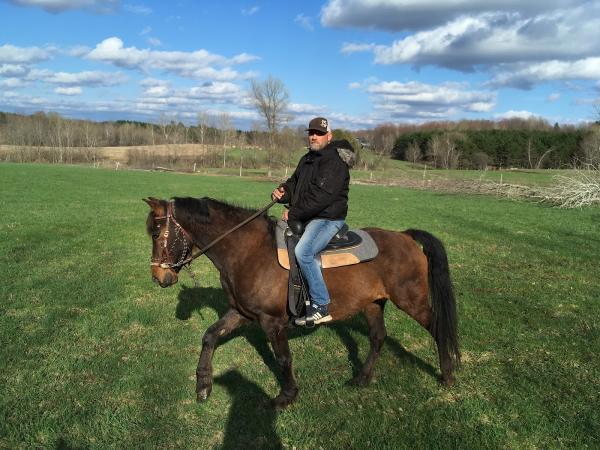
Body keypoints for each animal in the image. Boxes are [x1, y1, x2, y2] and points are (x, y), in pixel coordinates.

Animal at [144, 196, 460, 408]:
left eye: (157, 232)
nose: (159, 277)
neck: (248, 251)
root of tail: (405, 237)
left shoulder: (272, 321)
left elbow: (283, 358)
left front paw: (286, 396)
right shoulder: (241, 312)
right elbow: (210, 336)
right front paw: (203, 384)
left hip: (411, 300)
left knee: (437, 327)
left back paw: (447, 375)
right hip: (373, 303)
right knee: (378, 337)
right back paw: (361, 378)